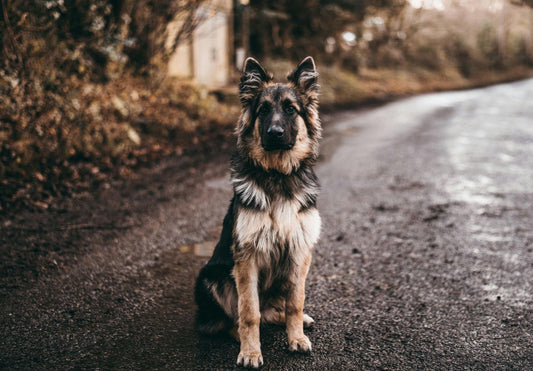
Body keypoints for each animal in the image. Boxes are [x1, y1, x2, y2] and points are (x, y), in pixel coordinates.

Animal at [194, 56, 320, 368]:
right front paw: (251, 351)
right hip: (211, 277)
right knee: (232, 320)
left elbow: (295, 303)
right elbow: (249, 312)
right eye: (263, 110)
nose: (274, 133)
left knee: (274, 310)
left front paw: (296, 337)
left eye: (290, 109)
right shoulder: (246, 258)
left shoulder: (299, 251)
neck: (277, 175)